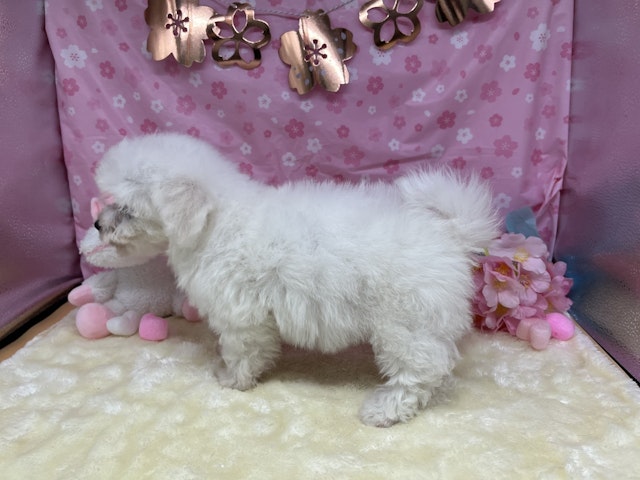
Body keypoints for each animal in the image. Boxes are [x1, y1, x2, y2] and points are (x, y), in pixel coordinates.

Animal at [94, 133, 500, 427]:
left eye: (127, 210)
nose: (97, 224)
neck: (215, 222)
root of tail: (450, 232)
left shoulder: (240, 315)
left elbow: (242, 351)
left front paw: (232, 379)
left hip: (405, 323)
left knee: (421, 371)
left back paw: (384, 409)